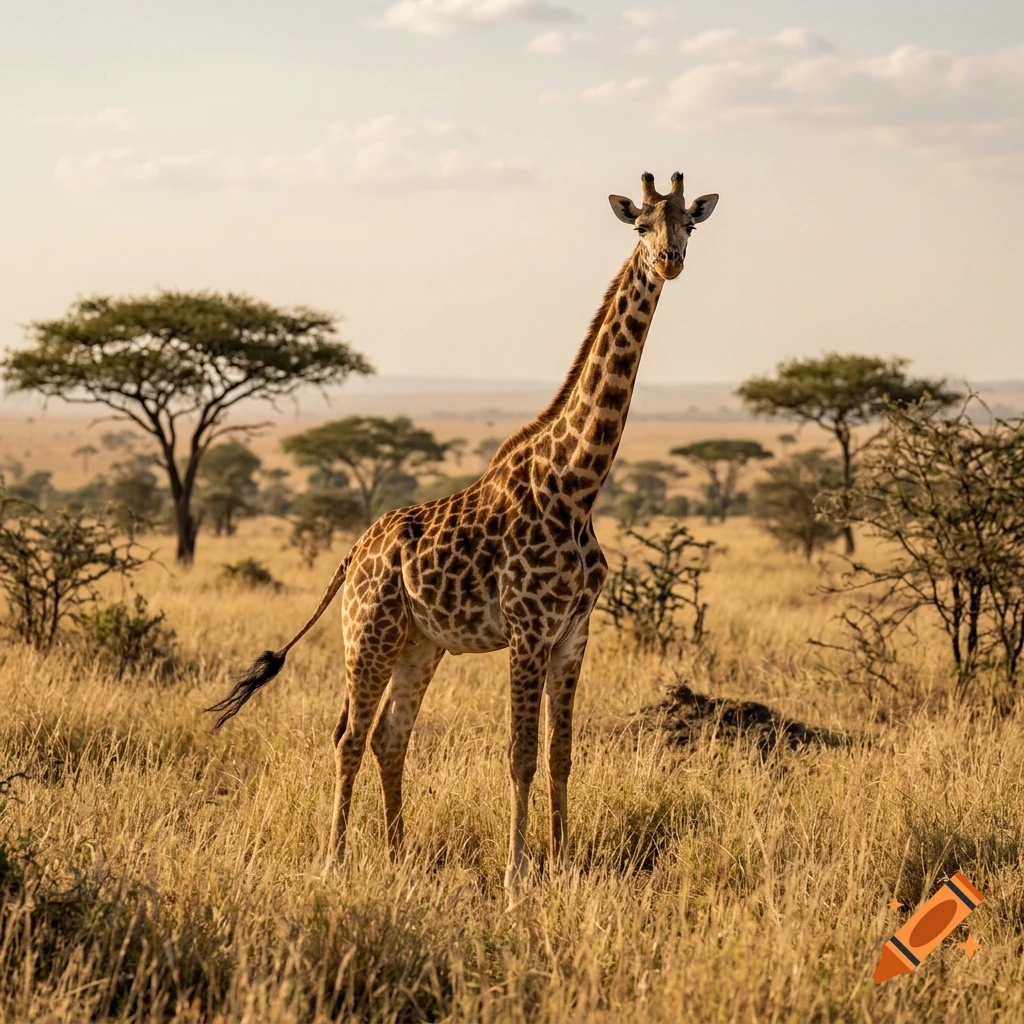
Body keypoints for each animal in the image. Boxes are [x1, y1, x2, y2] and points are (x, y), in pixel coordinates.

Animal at [208, 171, 719, 898]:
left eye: (689, 224)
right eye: (641, 225)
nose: (670, 261)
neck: (577, 483)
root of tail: (353, 552)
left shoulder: (575, 632)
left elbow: (561, 755)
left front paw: (562, 865)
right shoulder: (529, 629)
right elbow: (521, 754)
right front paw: (516, 876)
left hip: (421, 644)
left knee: (390, 737)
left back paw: (397, 858)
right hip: (368, 633)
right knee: (348, 737)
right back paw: (334, 862)